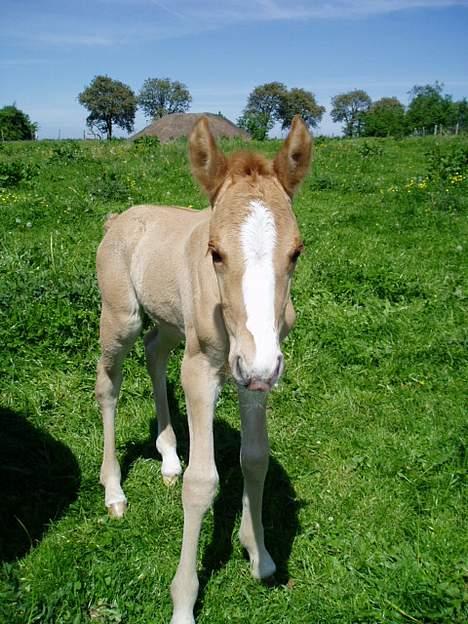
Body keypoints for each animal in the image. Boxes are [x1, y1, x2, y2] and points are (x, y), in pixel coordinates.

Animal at [96, 117, 310, 624]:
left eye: (296, 251)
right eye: (215, 252)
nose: (259, 365)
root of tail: (119, 219)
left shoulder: (254, 373)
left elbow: (255, 458)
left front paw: (260, 555)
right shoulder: (204, 371)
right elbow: (202, 482)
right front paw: (183, 602)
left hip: (172, 324)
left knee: (155, 353)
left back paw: (169, 456)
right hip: (120, 318)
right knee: (107, 385)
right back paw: (113, 491)